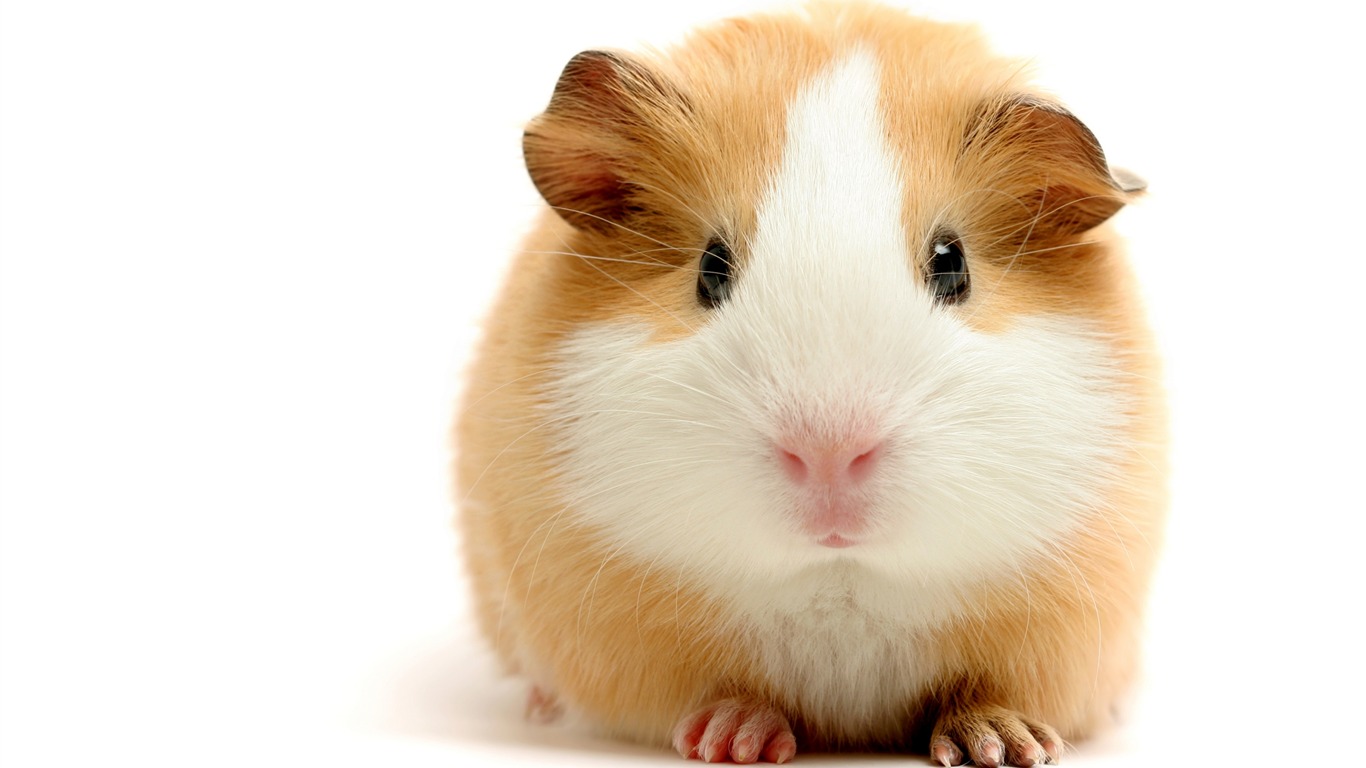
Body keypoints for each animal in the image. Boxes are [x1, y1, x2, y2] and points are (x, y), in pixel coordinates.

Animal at [456, 2, 1166, 765]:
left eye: (953, 265)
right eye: (710, 269)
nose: (829, 454)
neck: (839, 580)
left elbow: (984, 693)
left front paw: (1006, 746)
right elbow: (720, 695)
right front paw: (732, 740)